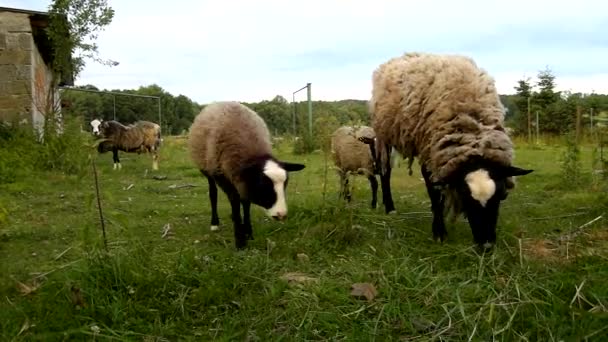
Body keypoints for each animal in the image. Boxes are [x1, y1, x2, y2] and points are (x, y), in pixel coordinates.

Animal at [188, 101, 306, 248]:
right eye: (262, 185)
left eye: (285, 184)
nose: (281, 215)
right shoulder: (222, 175)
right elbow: (234, 200)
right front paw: (240, 241)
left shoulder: (244, 181)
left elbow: (245, 202)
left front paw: (248, 232)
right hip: (207, 168)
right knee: (213, 193)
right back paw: (215, 223)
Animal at [366, 51, 532, 248]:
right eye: (466, 198)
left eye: (502, 195)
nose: (486, 246)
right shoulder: (429, 151)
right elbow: (434, 190)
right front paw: (439, 232)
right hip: (385, 135)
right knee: (385, 171)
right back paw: (390, 207)